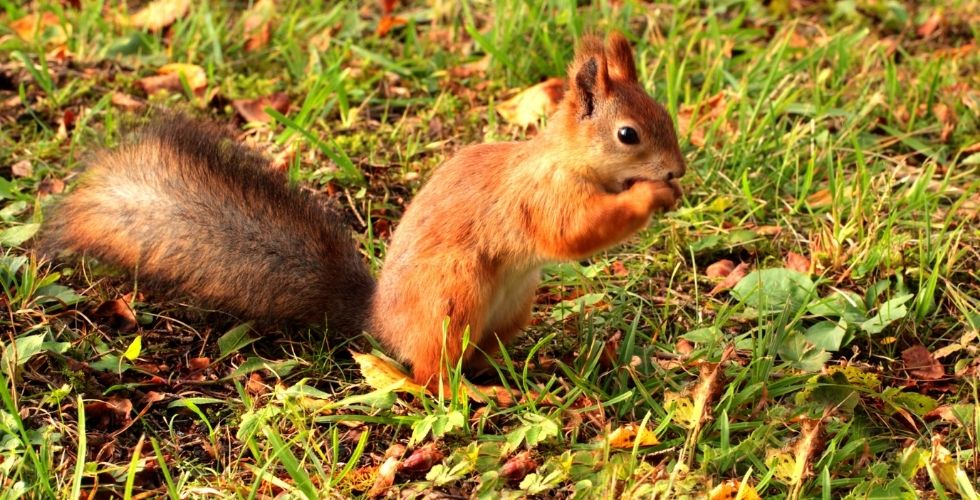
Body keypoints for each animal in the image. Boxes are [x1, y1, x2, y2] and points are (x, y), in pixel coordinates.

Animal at [40, 32, 680, 394]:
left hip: (512, 305)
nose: (677, 170)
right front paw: (648, 198)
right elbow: (570, 234)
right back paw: (474, 392)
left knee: (478, 355)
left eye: (666, 114)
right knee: (431, 376)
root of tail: (380, 322)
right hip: (453, 293)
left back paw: (521, 371)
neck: (565, 159)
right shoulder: (541, 196)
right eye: (627, 134)